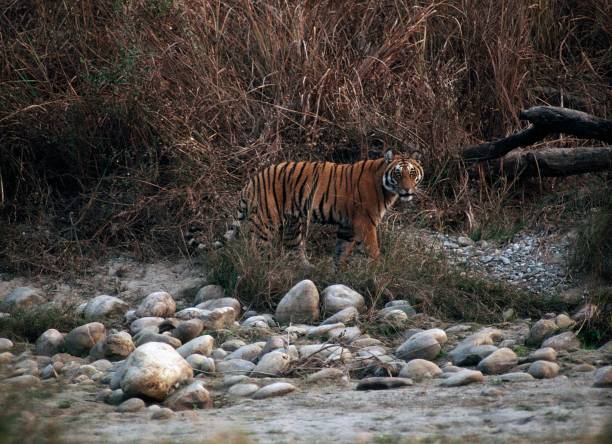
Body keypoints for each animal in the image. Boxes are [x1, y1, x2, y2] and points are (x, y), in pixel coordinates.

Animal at [214, 151, 420, 266]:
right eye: (398, 174)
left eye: (412, 173)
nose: (407, 190)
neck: (385, 187)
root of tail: (253, 180)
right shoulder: (366, 222)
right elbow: (373, 249)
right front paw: (378, 270)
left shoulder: (347, 226)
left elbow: (341, 251)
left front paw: (338, 274)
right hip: (266, 222)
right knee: (256, 248)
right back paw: (258, 270)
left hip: (293, 224)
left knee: (293, 249)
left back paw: (305, 270)